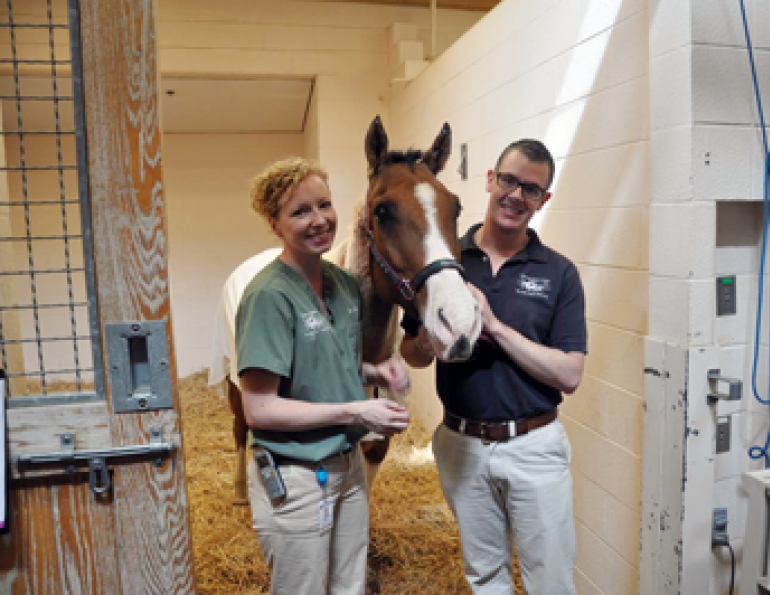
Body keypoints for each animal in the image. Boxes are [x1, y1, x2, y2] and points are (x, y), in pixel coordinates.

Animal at [208, 115, 482, 503]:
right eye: (382, 211)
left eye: (455, 207)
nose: (460, 324)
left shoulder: (378, 443)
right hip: (235, 384)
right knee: (239, 429)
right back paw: (239, 491)